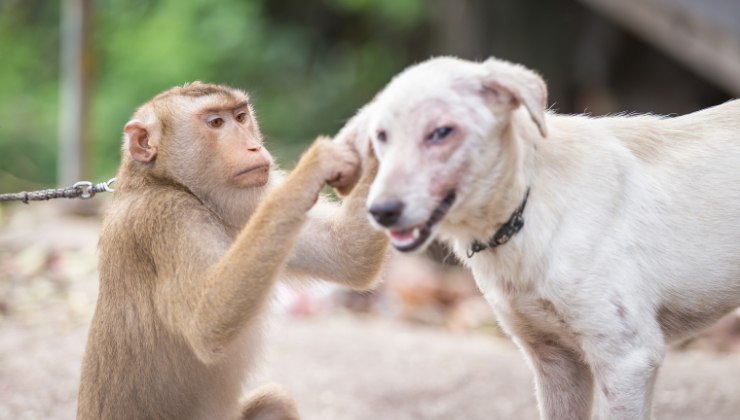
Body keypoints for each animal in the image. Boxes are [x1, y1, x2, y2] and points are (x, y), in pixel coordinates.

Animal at [76, 82, 390, 420]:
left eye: (240, 117)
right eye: (215, 123)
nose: (253, 147)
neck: (165, 181)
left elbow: (349, 255)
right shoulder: (165, 219)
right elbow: (207, 323)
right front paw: (312, 168)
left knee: (275, 402)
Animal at [336, 56, 740, 420]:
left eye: (441, 132)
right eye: (382, 137)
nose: (381, 211)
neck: (526, 207)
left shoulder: (628, 358)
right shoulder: (554, 360)